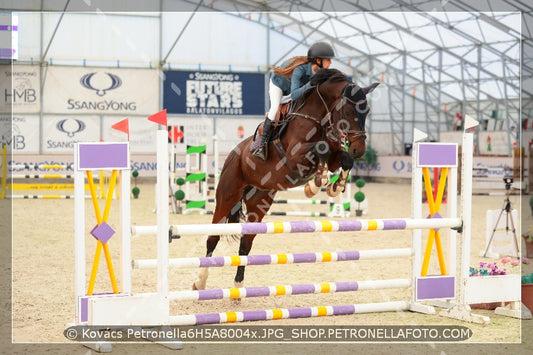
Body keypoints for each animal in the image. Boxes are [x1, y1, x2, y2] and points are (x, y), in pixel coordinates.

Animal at [193, 69, 376, 292]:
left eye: (367, 112)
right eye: (349, 112)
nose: (360, 149)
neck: (319, 118)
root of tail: (233, 155)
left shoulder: (334, 156)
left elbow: (342, 158)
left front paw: (334, 186)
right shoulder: (295, 157)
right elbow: (320, 149)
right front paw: (315, 185)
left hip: (259, 202)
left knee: (246, 242)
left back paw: (238, 286)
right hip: (227, 196)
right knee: (213, 237)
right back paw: (200, 281)